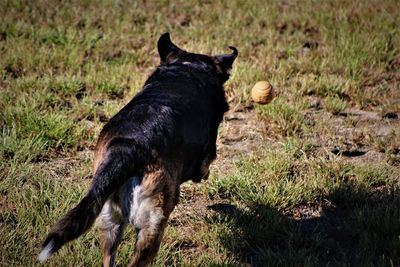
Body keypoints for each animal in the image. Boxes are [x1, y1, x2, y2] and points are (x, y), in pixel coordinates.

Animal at [38, 32, 236, 266]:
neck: (187, 66)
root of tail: (128, 149)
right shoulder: (209, 147)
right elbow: (206, 163)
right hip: (152, 222)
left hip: (108, 220)